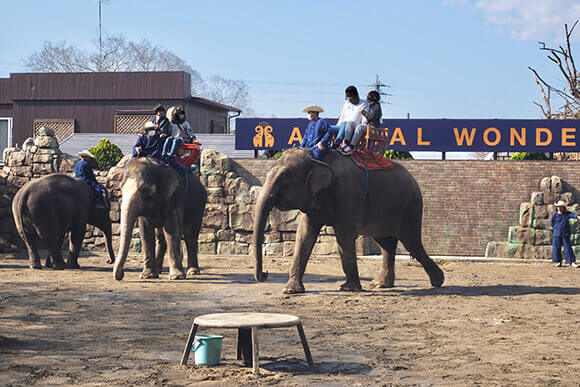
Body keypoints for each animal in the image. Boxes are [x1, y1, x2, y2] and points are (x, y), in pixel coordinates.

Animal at [253, 149, 444, 294]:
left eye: (284, 177)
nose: (266, 273)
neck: (317, 158)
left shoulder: (346, 194)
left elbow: (344, 235)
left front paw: (348, 289)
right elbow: (304, 235)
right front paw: (291, 290)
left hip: (410, 207)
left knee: (412, 243)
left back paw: (438, 281)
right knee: (386, 244)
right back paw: (380, 285)